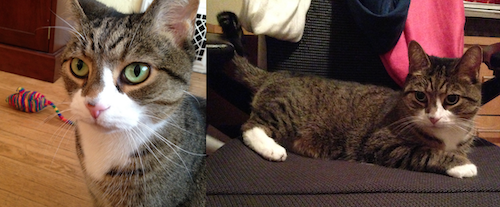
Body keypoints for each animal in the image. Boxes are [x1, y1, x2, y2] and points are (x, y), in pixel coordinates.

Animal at [220, 12, 484, 179]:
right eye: (420, 96)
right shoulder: (382, 143)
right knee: (250, 126)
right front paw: (462, 165)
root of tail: (273, 75)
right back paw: (272, 149)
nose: (433, 117)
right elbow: (426, 153)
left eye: (452, 100)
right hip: (287, 110)